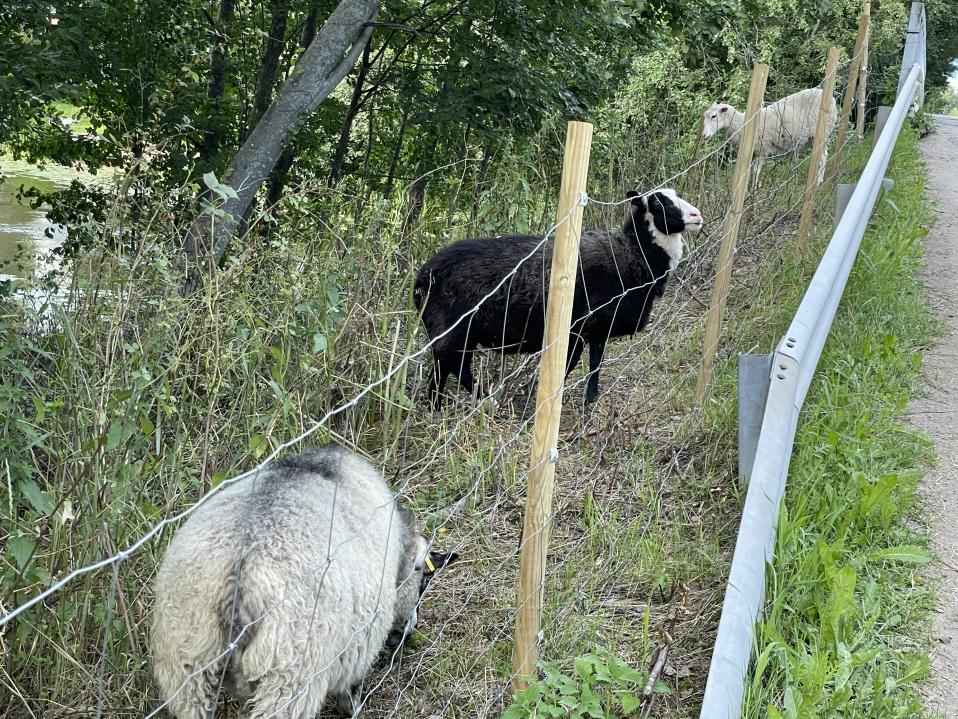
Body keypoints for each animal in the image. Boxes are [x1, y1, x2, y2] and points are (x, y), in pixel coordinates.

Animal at [152, 444, 460, 719]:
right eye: (424, 578)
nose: (408, 631)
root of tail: (238, 580)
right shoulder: (361, 640)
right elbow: (350, 689)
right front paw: (353, 708)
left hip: (187, 668)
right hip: (288, 680)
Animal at [412, 187, 704, 410]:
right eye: (656, 202)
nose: (697, 216)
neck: (636, 252)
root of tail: (423, 277)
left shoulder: (588, 330)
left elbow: (586, 364)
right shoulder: (590, 325)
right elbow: (584, 364)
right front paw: (567, 401)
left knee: (443, 367)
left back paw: (436, 407)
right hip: (455, 328)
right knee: (453, 364)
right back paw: (484, 402)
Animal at [700, 88, 836, 186]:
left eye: (713, 116)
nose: (704, 135)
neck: (742, 124)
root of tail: (832, 98)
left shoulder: (763, 149)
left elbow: (755, 172)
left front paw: (754, 190)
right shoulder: (753, 153)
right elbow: (749, 172)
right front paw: (747, 188)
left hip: (822, 134)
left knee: (823, 157)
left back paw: (818, 182)